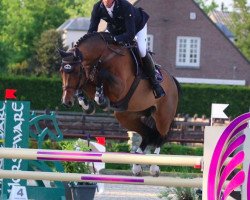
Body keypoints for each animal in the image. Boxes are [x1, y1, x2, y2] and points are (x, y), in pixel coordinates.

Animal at [58, 32, 180, 176]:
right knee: (148, 134)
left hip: (163, 116)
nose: (66, 101)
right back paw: (136, 166)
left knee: (161, 136)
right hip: (127, 115)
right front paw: (86, 104)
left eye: (76, 71)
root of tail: (172, 79)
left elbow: (101, 74)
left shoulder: (119, 88)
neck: (103, 56)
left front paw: (101, 99)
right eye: (61, 71)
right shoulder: (90, 79)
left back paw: (154, 166)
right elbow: (88, 81)